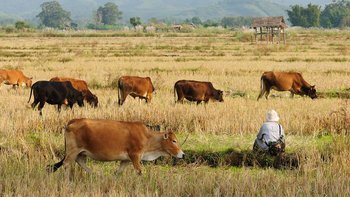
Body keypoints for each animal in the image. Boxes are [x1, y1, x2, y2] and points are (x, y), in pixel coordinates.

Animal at [47, 118, 186, 175]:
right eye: (174, 141)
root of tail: (72, 121)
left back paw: (95, 175)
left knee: (80, 162)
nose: (183, 154)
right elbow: (139, 172)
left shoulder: (126, 160)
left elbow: (117, 172)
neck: (147, 136)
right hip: (73, 150)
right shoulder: (135, 156)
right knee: (66, 164)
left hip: (80, 152)